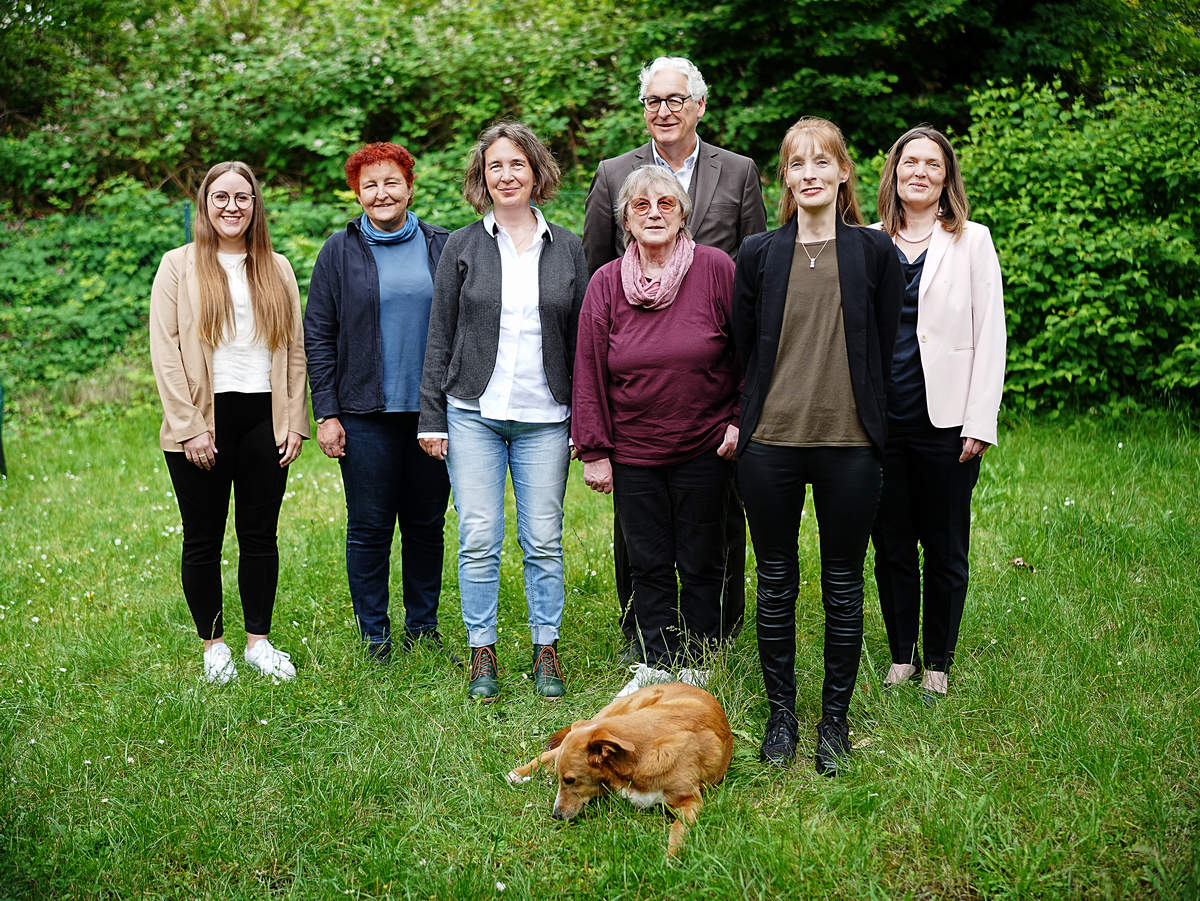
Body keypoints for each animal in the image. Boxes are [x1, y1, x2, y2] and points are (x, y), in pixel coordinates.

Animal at [506, 686, 729, 854]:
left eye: (570, 780)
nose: (556, 816)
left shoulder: (691, 801)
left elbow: (677, 830)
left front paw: (670, 857)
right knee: (552, 752)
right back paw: (520, 773)